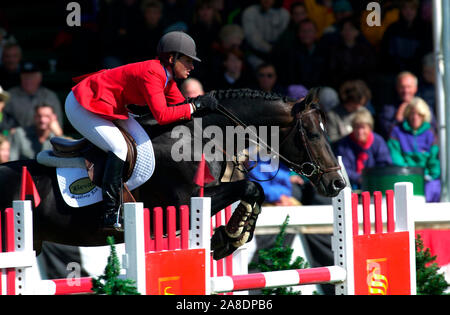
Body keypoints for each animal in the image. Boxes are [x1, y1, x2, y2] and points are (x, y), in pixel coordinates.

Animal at [0, 88, 346, 260]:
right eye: (313, 134)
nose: (337, 183)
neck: (201, 135)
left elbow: (253, 192)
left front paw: (231, 236)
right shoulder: (186, 200)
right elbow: (251, 188)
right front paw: (229, 237)